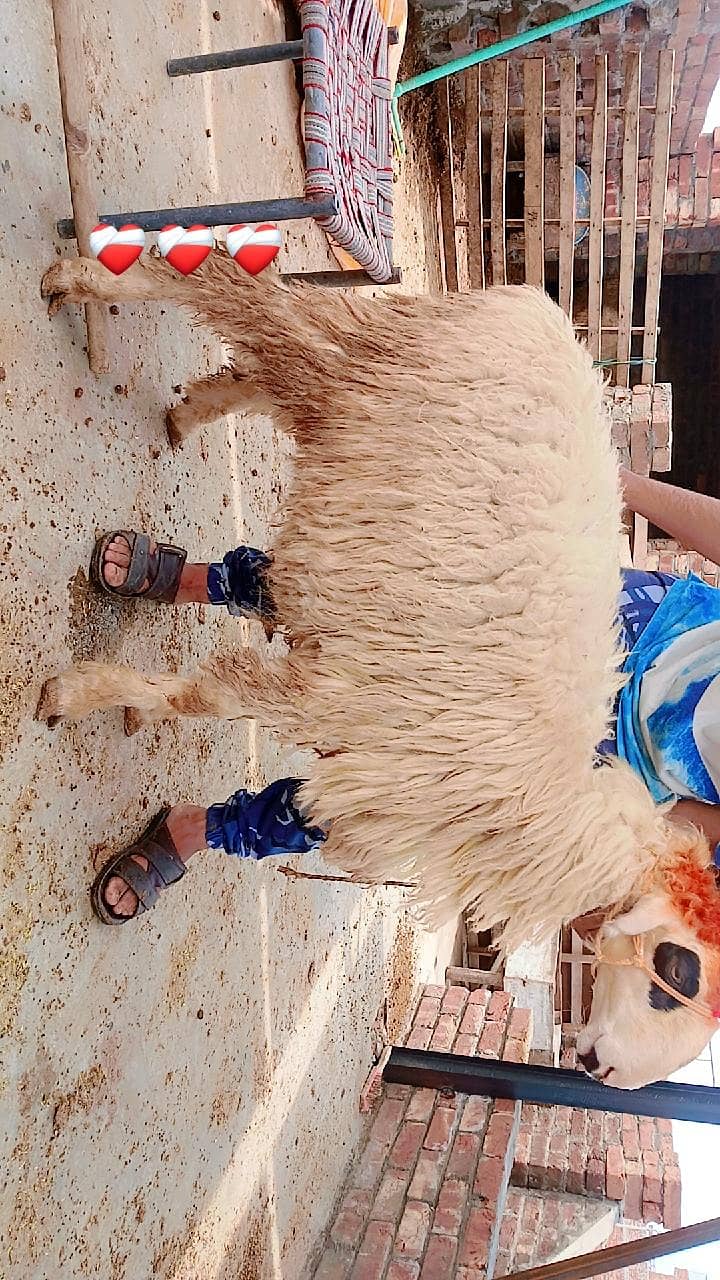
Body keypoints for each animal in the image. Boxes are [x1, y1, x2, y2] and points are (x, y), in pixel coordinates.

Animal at [38, 252, 720, 1088]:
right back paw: (86, 283)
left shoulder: (363, 745)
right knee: (237, 292)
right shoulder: (339, 702)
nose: (605, 1074)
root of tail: (541, 312)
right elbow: (205, 695)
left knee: (263, 362)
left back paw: (193, 414)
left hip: (360, 425)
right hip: (369, 363)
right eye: (678, 970)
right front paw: (84, 693)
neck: (545, 816)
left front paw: (129, 710)